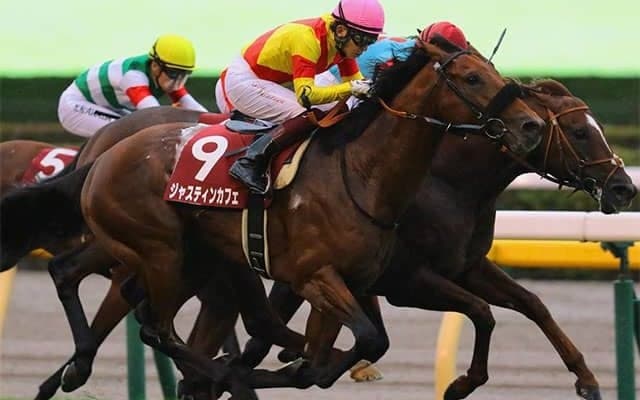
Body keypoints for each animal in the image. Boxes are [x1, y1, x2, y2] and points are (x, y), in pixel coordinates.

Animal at [232, 78, 637, 400]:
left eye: (598, 127)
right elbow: (482, 311)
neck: (448, 183)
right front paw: (460, 384)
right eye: (579, 131)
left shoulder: (466, 267)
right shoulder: (406, 280)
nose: (623, 188)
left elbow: (532, 303)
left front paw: (587, 379)